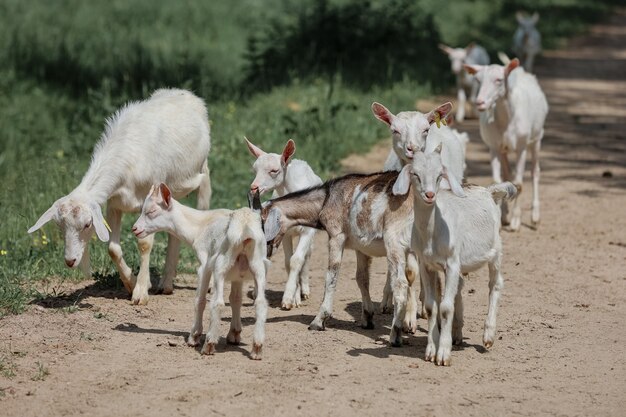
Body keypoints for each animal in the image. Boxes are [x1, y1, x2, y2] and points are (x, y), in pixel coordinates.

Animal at [27, 88, 210, 302]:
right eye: (60, 225)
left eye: (87, 225)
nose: (70, 261)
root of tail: (182, 92)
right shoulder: (114, 203)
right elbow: (113, 249)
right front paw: (131, 283)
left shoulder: (149, 199)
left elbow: (144, 244)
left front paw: (140, 292)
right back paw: (166, 284)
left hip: (203, 173)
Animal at [132, 184, 268, 360]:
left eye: (151, 211)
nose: (135, 229)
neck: (200, 225)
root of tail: (244, 228)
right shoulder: (238, 275)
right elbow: (236, 299)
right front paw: (234, 334)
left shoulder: (205, 265)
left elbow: (200, 300)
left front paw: (194, 336)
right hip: (259, 266)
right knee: (261, 303)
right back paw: (257, 348)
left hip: (221, 264)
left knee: (217, 303)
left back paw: (209, 345)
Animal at [245, 137, 322, 308]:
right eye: (254, 169)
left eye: (274, 170)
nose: (254, 187)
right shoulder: (284, 232)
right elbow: (288, 262)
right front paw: (294, 297)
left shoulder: (307, 231)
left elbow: (297, 260)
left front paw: (288, 298)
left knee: (308, 255)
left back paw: (305, 289)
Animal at [390, 145, 516, 366]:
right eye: (415, 174)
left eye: (440, 175)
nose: (430, 195)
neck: (433, 231)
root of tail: (489, 191)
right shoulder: (426, 264)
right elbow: (431, 306)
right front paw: (431, 350)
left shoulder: (452, 263)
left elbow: (445, 307)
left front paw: (443, 354)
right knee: (460, 287)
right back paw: (457, 334)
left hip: (495, 251)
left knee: (496, 284)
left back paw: (488, 335)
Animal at [464, 57, 544, 231]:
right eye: (478, 80)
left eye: (499, 80)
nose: (480, 103)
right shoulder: (494, 146)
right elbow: (497, 180)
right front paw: (501, 219)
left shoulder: (521, 146)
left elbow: (519, 183)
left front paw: (515, 221)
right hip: (504, 149)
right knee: (507, 174)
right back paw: (506, 215)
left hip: (536, 138)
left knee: (535, 172)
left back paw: (535, 218)